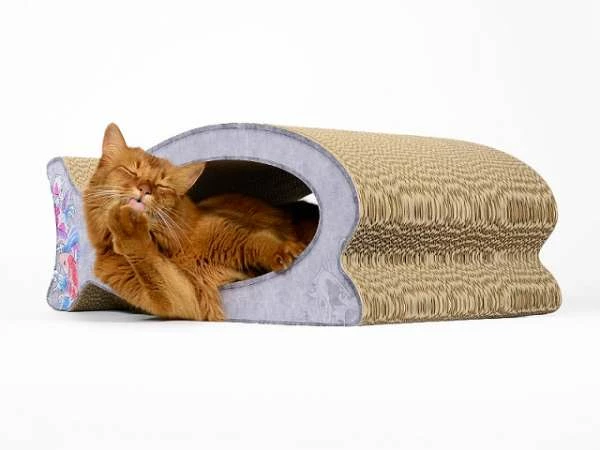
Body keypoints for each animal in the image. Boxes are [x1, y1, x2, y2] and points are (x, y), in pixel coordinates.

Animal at [84, 123, 318, 321]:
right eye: (130, 171)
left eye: (162, 185)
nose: (145, 189)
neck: (172, 250)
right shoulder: (184, 299)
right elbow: (152, 265)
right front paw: (128, 227)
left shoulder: (238, 235)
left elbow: (262, 241)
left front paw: (285, 250)